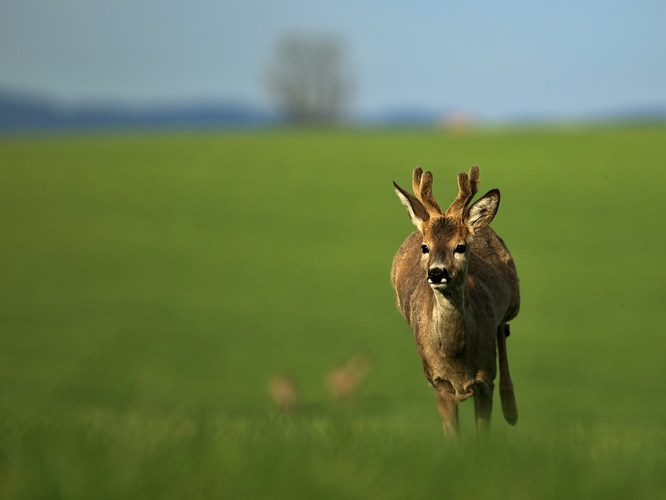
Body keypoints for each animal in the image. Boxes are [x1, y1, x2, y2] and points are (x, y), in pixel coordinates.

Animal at [390, 167, 520, 438]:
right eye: (425, 247)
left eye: (460, 246)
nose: (437, 273)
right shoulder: (438, 382)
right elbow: (453, 437)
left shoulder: (485, 380)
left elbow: (483, 435)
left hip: (515, 300)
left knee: (503, 328)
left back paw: (511, 409)